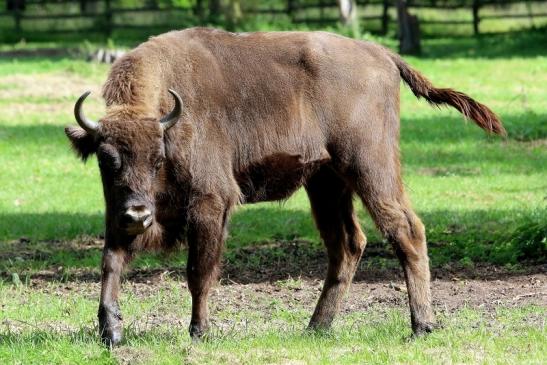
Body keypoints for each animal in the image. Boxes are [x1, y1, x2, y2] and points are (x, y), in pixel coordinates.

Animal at [66, 27, 508, 346]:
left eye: (158, 158)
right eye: (106, 159)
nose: (137, 212)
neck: (165, 116)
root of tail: (380, 54)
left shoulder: (210, 203)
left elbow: (199, 270)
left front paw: (199, 333)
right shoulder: (118, 215)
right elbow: (110, 262)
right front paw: (111, 333)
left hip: (370, 167)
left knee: (406, 229)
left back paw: (421, 327)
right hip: (326, 182)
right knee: (347, 244)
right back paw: (316, 327)